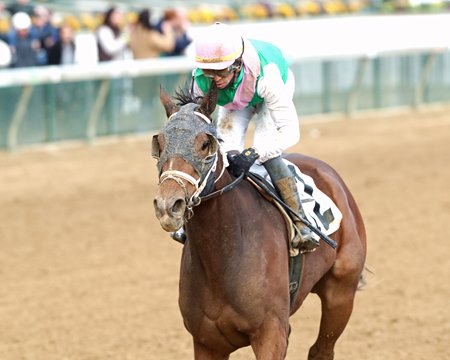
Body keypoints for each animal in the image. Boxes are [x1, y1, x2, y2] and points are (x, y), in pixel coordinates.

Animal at [153, 85, 368, 360]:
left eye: (205, 144)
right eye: (159, 143)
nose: (168, 205)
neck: (222, 256)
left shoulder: (272, 334)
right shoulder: (206, 342)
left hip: (341, 293)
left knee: (321, 349)